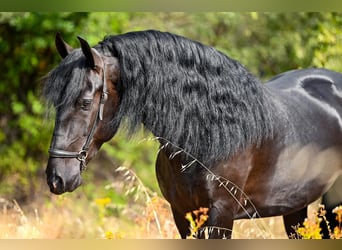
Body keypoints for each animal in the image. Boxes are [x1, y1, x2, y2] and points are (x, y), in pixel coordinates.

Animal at [43, 30, 342, 239]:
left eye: (84, 102)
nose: (57, 178)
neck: (207, 134)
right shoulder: (182, 214)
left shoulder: (221, 216)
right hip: (295, 205)